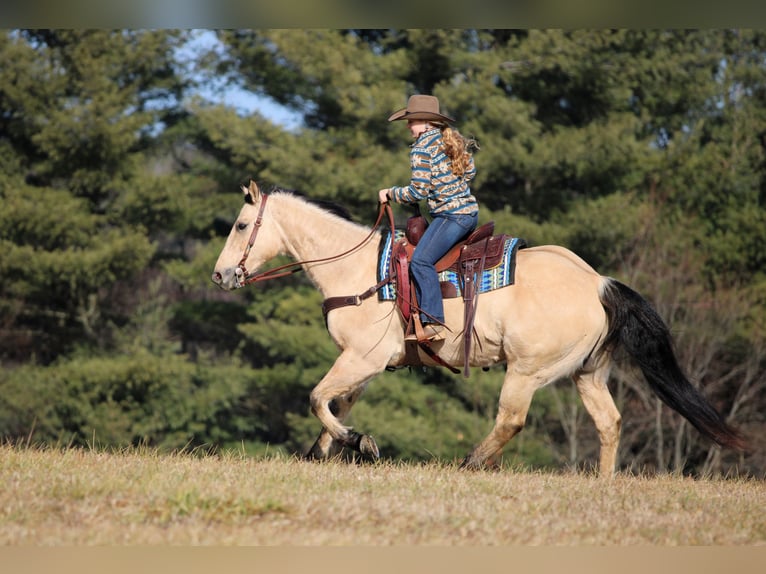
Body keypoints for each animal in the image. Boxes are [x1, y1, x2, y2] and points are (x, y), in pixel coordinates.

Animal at [212, 181, 746, 476]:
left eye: (240, 225)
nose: (220, 276)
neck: (357, 270)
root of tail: (598, 282)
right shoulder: (364, 364)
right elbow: (334, 404)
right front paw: (330, 449)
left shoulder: (363, 358)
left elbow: (317, 397)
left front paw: (358, 442)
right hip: (588, 373)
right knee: (609, 423)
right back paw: (603, 482)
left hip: (527, 371)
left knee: (511, 419)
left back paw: (469, 462)